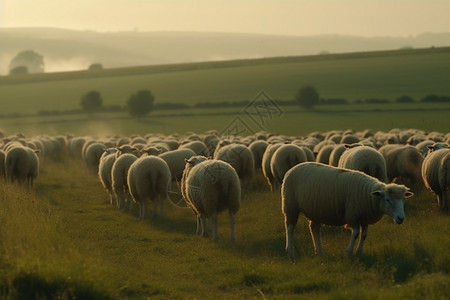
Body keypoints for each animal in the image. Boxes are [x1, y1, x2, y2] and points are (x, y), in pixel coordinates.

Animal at [284, 162, 414, 258]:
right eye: (387, 199)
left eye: (403, 199)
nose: (401, 218)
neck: (368, 196)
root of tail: (294, 167)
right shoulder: (353, 215)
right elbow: (356, 233)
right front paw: (349, 252)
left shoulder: (364, 218)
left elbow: (364, 235)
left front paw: (359, 253)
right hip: (290, 205)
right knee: (290, 228)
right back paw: (289, 251)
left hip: (315, 210)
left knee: (314, 229)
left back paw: (319, 252)